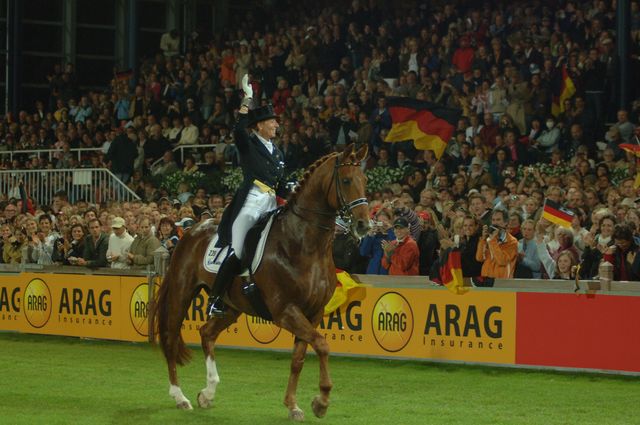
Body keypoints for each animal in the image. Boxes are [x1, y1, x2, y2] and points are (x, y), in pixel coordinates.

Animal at [152, 143, 370, 421]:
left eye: (365, 180)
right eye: (346, 180)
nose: (364, 225)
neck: (304, 244)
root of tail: (191, 230)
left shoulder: (313, 313)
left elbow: (299, 359)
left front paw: (293, 405)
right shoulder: (286, 311)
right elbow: (322, 344)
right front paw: (321, 401)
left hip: (231, 306)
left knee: (207, 333)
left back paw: (208, 392)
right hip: (182, 292)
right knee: (171, 338)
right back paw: (180, 397)